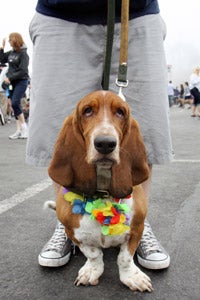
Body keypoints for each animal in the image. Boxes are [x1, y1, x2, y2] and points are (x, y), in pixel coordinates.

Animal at [47, 90, 152, 292]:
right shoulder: (74, 232)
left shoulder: (136, 229)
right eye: (87, 111)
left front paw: (131, 277)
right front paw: (91, 271)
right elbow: (93, 253)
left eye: (120, 112)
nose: (105, 143)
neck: (103, 195)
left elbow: (125, 258)